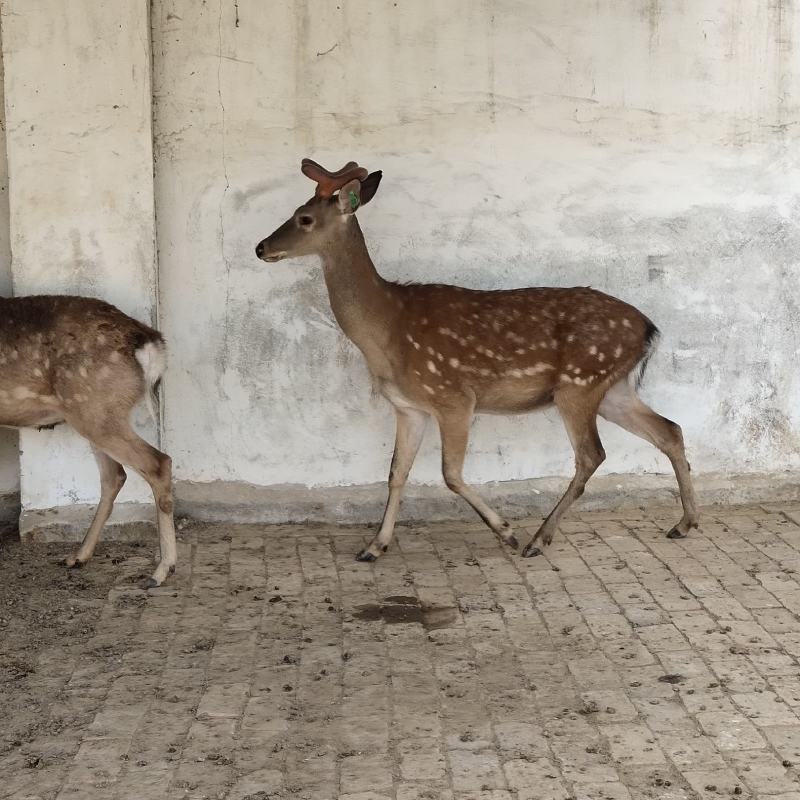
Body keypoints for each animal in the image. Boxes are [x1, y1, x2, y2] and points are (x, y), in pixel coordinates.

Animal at [0, 295, 177, 587]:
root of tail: (150, 341)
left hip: (94, 409)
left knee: (158, 463)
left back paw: (161, 570)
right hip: (97, 413)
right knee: (115, 475)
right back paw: (79, 556)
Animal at [255, 159, 699, 562]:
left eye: (304, 218)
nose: (261, 247)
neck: (387, 332)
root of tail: (648, 328)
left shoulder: (453, 396)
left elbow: (450, 474)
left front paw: (506, 531)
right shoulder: (409, 407)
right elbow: (396, 473)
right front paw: (374, 546)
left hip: (579, 383)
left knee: (592, 454)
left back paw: (538, 539)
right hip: (612, 388)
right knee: (669, 430)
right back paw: (684, 523)